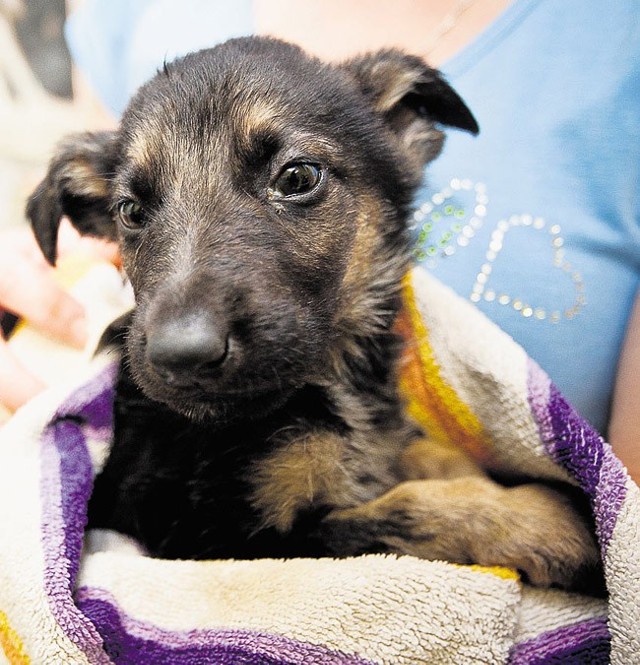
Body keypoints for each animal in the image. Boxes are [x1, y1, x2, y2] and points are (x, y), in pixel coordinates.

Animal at [27, 37, 604, 588]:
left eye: (298, 177)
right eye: (130, 211)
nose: (181, 356)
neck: (325, 378)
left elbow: (417, 457)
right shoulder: (218, 538)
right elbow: (399, 509)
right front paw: (547, 522)